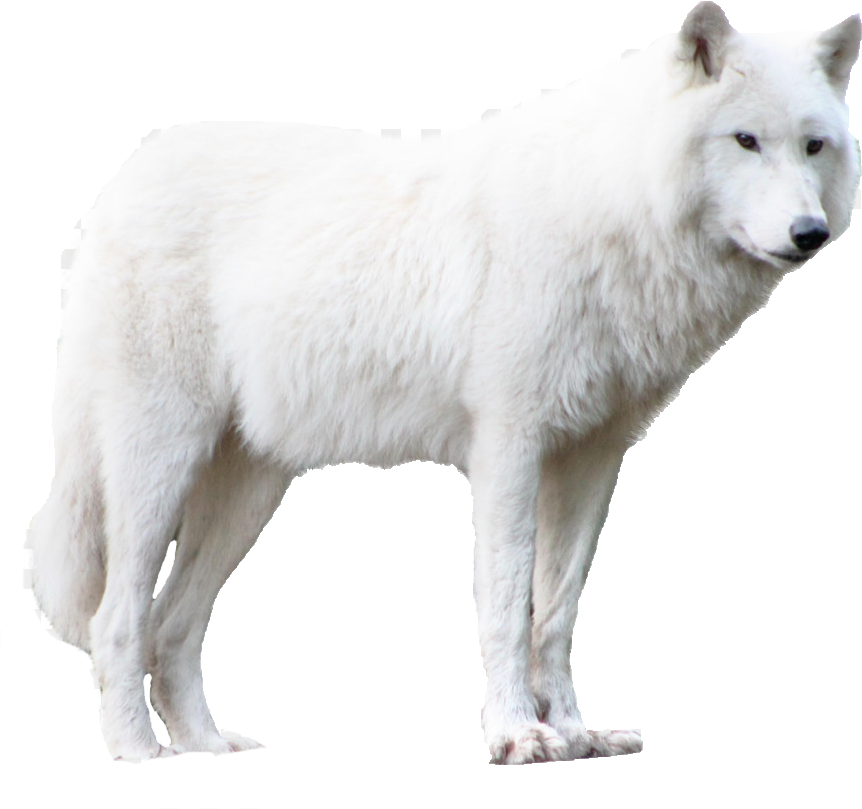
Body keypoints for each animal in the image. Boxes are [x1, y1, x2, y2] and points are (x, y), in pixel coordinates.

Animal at [24, 2, 859, 764]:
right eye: (745, 140)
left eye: (813, 145)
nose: (809, 234)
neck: (611, 205)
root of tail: (119, 182)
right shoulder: (509, 449)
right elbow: (507, 602)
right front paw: (518, 733)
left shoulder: (592, 459)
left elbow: (557, 611)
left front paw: (575, 734)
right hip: (158, 469)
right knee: (115, 621)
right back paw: (142, 754)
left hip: (249, 493)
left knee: (170, 626)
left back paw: (206, 746)